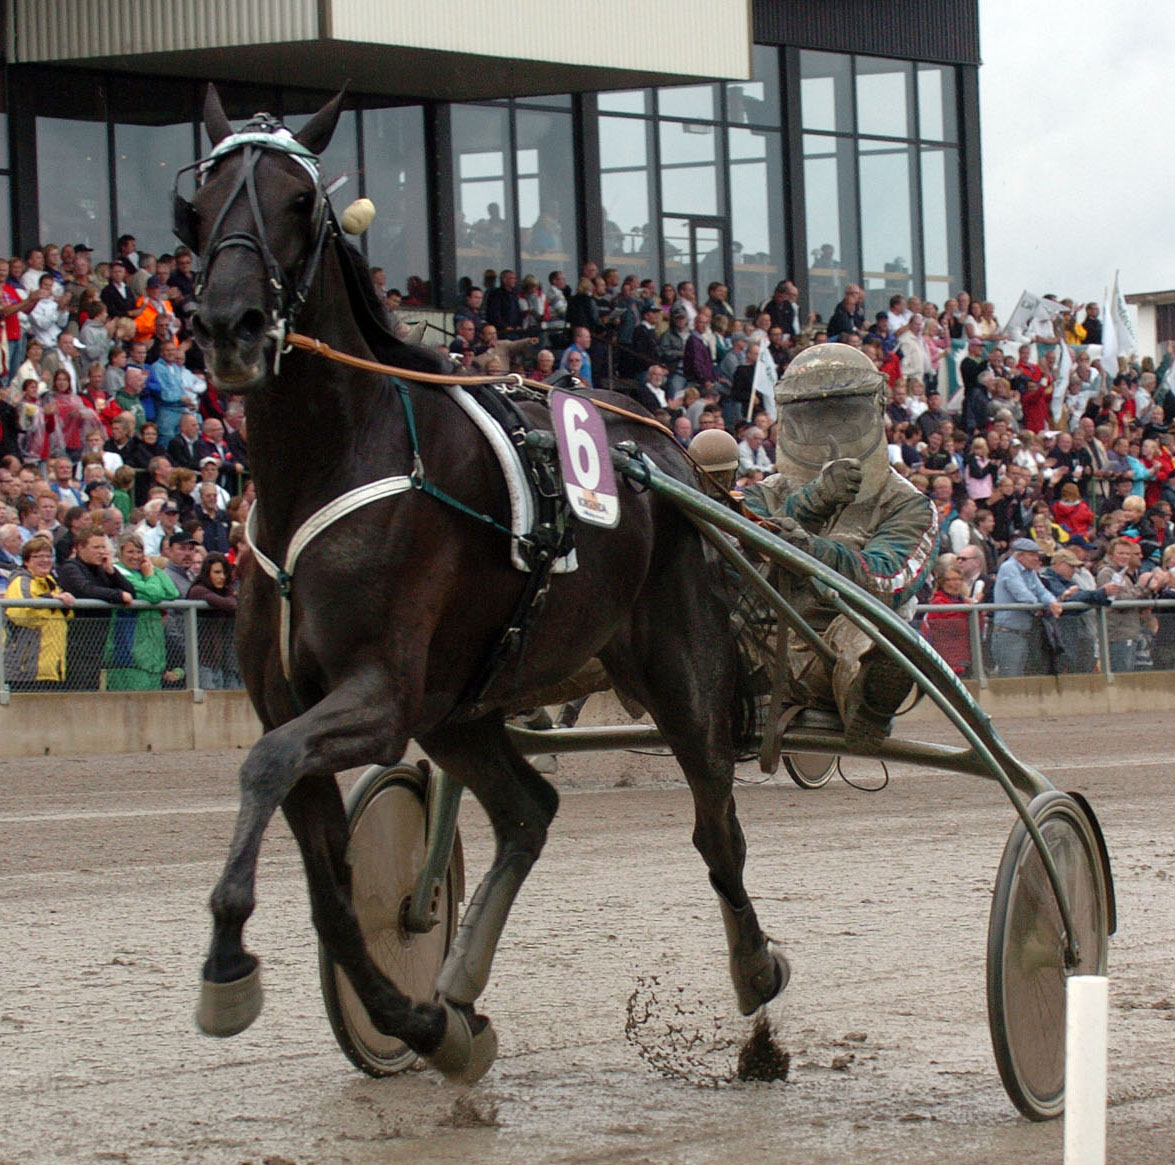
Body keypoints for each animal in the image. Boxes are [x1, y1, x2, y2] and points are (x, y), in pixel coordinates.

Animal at [188, 88, 784, 1086]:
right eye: (192, 205)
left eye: (299, 201)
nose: (231, 325)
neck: (331, 458)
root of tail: (664, 447)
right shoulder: (300, 701)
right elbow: (332, 893)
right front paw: (421, 1023)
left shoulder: (378, 696)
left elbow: (263, 766)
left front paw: (227, 959)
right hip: (460, 705)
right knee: (529, 811)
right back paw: (459, 990)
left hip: (680, 668)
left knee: (719, 831)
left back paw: (756, 987)